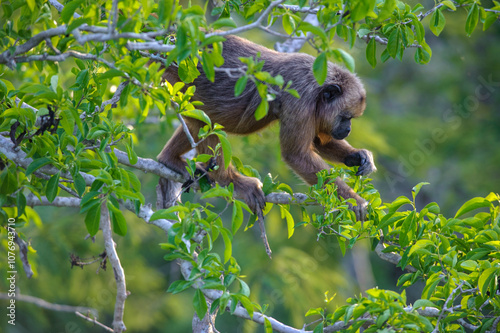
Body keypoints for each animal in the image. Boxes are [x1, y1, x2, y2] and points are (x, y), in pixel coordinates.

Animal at [156, 35, 376, 219]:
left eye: (351, 119)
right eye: (345, 117)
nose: (348, 129)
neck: (318, 87)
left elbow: (319, 142)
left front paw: (359, 156)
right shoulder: (300, 97)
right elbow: (297, 155)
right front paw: (355, 200)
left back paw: (169, 159)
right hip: (174, 77)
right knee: (202, 119)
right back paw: (230, 181)